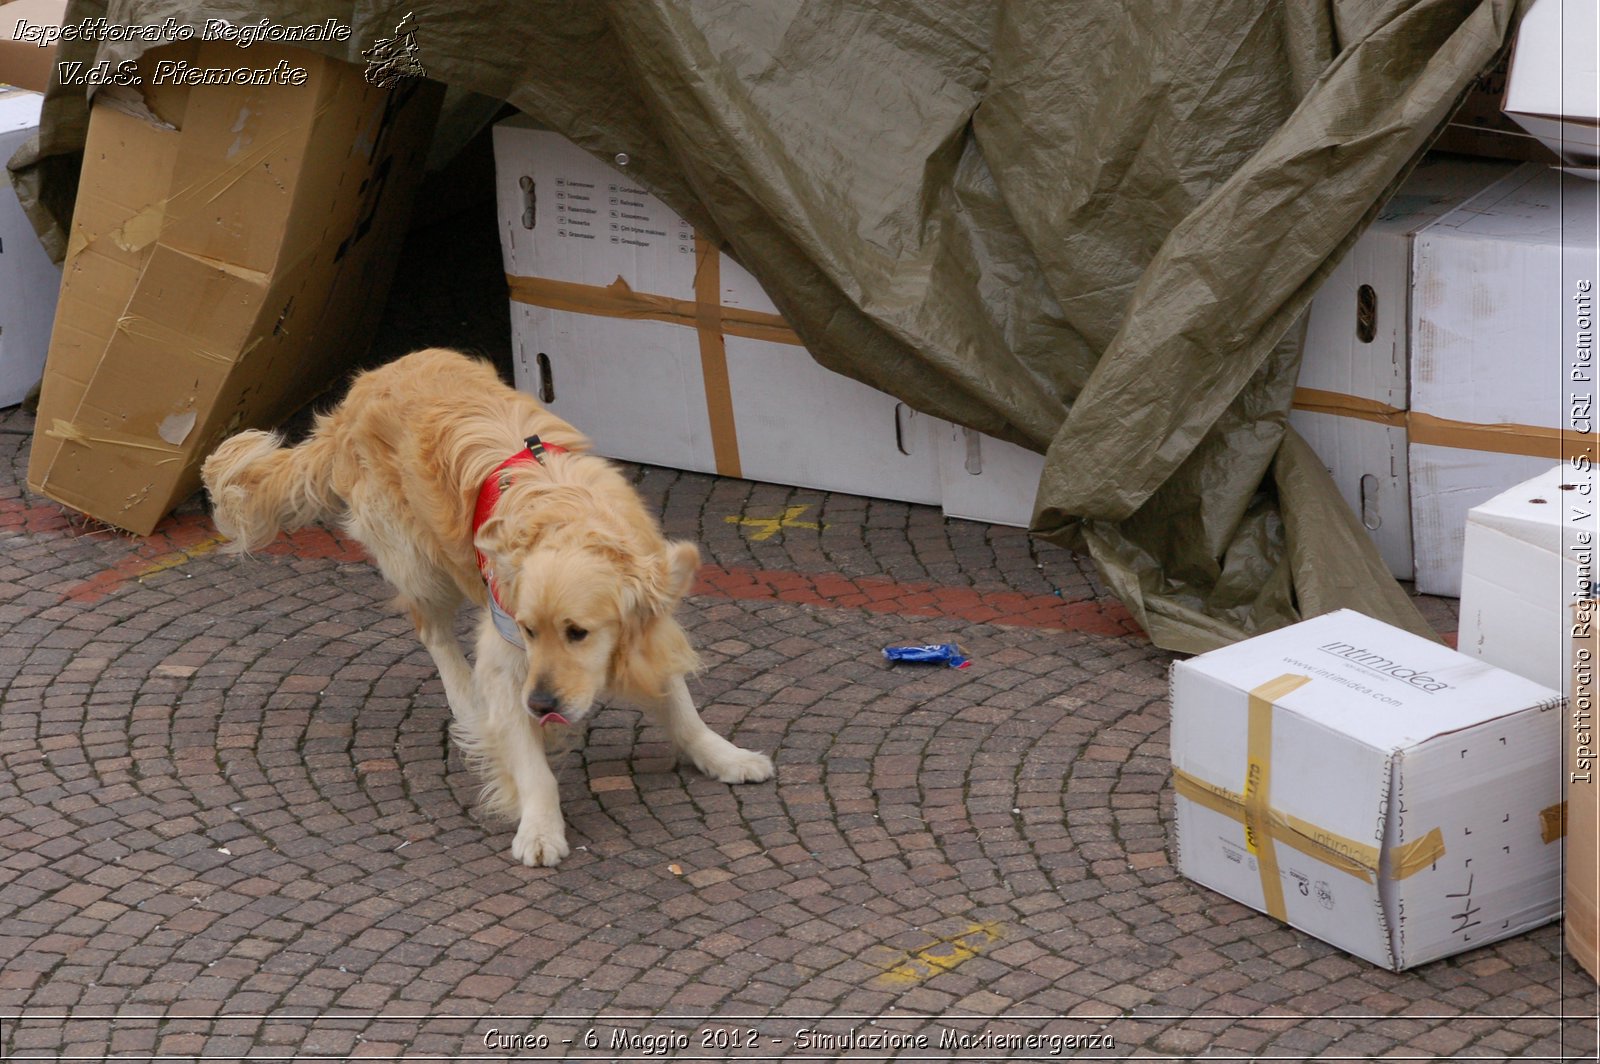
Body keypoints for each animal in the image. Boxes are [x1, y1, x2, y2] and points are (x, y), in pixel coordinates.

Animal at [200, 348, 774, 864]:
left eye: (578, 632)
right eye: (528, 630)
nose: (541, 705)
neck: (568, 516)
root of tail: (359, 389)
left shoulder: (650, 621)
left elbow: (679, 703)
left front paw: (724, 756)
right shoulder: (506, 656)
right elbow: (531, 762)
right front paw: (539, 829)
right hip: (416, 559)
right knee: (433, 634)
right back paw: (466, 701)